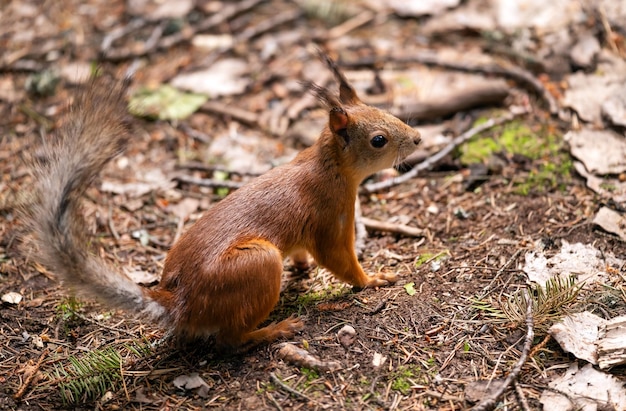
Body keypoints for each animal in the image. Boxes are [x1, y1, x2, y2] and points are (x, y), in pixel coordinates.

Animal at [25, 51, 420, 348]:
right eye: (379, 140)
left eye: (387, 111)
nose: (417, 138)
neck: (328, 166)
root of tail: (181, 304)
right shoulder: (331, 214)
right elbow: (338, 259)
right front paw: (373, 279)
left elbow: (304, 251)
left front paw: (304, 266)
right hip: (258, 265)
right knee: (230, 340)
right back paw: (274, 330)